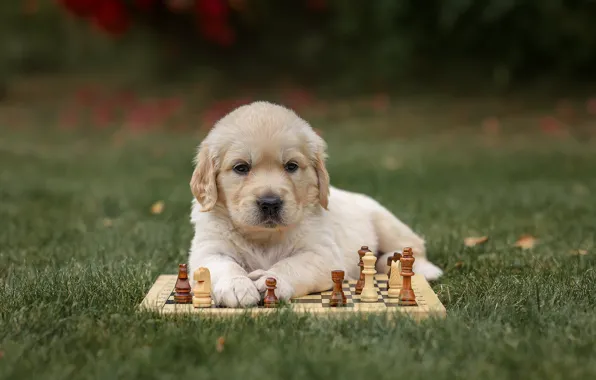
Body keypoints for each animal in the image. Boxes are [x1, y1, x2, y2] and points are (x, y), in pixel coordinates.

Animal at [186, 101, 442, 308]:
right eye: (241, 168)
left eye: (291, 166)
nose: (270, 203)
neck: (264, 237)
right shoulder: (208, 249)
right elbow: (222, 266)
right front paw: (237, 286)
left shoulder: (321, 254)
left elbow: (291, 265)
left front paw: (271, 282)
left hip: (386, 223)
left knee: (414, 247)